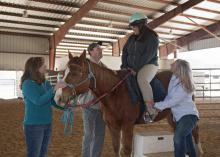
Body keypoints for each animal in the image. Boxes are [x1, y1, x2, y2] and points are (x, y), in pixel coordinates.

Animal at [55, 51, 203, 156]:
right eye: (64, 72)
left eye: (77, 72)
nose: (59, 96)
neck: (116, 93)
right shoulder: (113, 126)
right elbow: (116, 148)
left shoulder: (127, 125)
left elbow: (125, 150)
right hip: (171, 117)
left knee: (195, 130)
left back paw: (199, 151)